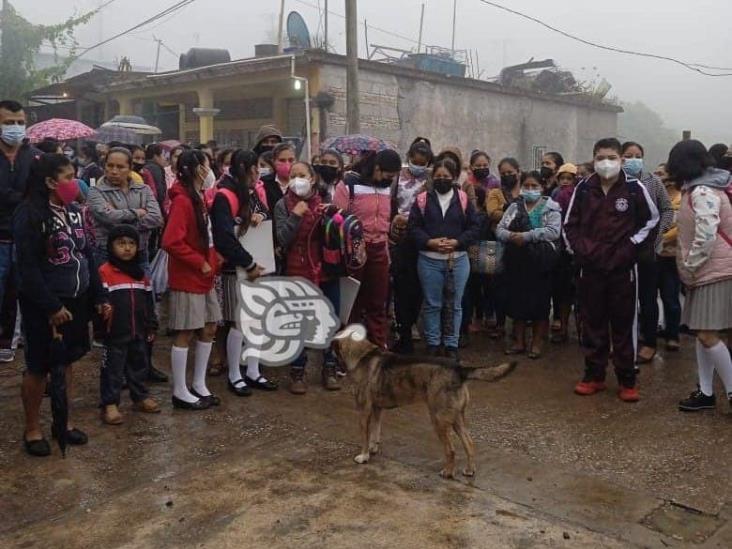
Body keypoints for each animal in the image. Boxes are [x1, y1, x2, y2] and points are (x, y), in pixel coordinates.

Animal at [332, 326, 516, 476]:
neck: (363, 355)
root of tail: (459, 369)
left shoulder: (364, 410)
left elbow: (365, 435)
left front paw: (364, 456)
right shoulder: (377, 409)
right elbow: (375, 433)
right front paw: (373, 449)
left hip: (438, 420)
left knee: (451, 450)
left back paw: (448, 472)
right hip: (456, 419)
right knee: (469, 444)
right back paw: (470, 470)